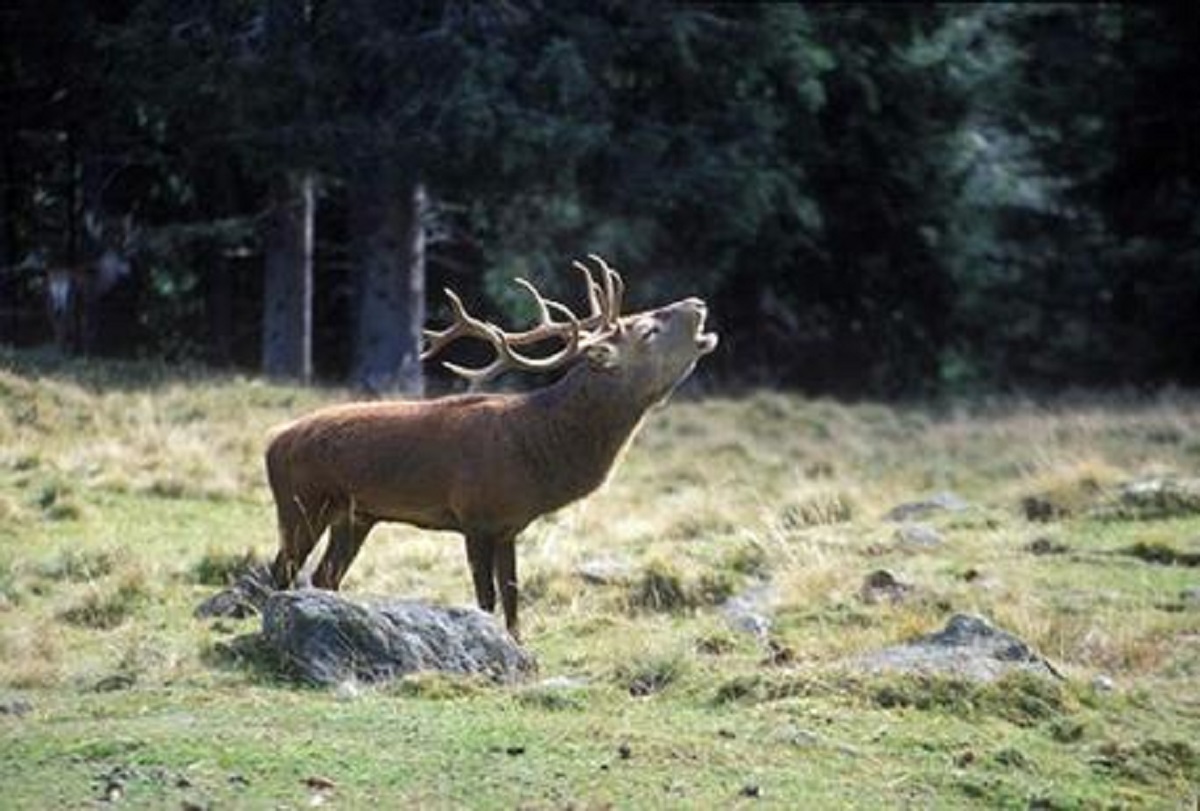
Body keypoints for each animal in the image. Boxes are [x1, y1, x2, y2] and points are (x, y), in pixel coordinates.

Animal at [264, 255, 718, 640]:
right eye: (648, 330)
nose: (697, 302)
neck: (535, 452)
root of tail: (271, 443)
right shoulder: (474, 517)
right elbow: (486, 599)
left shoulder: (508, 526)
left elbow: (514, 599)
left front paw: (519, 649)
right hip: (300, 503)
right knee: (283, 570)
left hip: (355, 516)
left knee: (325, 576)